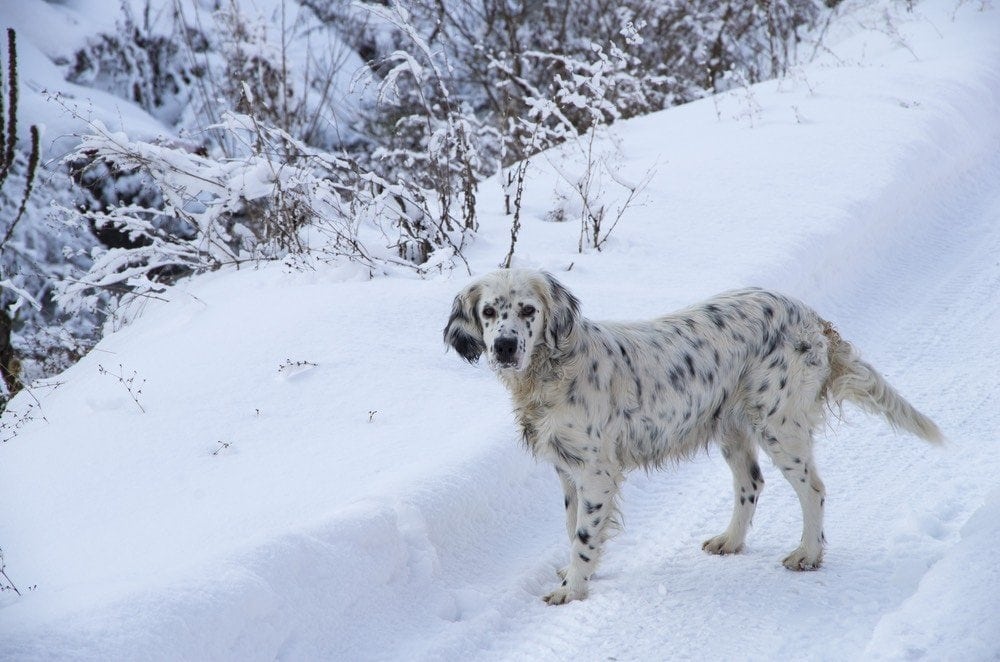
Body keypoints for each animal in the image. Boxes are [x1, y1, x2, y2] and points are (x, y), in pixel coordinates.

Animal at [442, 270, 940, 608]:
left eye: (528, 310)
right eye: (489, 312)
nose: (505, 346)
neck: (553, 370)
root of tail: (810, 315)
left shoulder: (596, 472)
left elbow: (584, 535)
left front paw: (572, 589)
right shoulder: (568, 472)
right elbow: (572, 529)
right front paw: (572, 575)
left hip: (779, 426)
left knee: (813, 489)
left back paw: (807, 554)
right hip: (734, 427)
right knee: (751, 483)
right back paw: (730, 541)